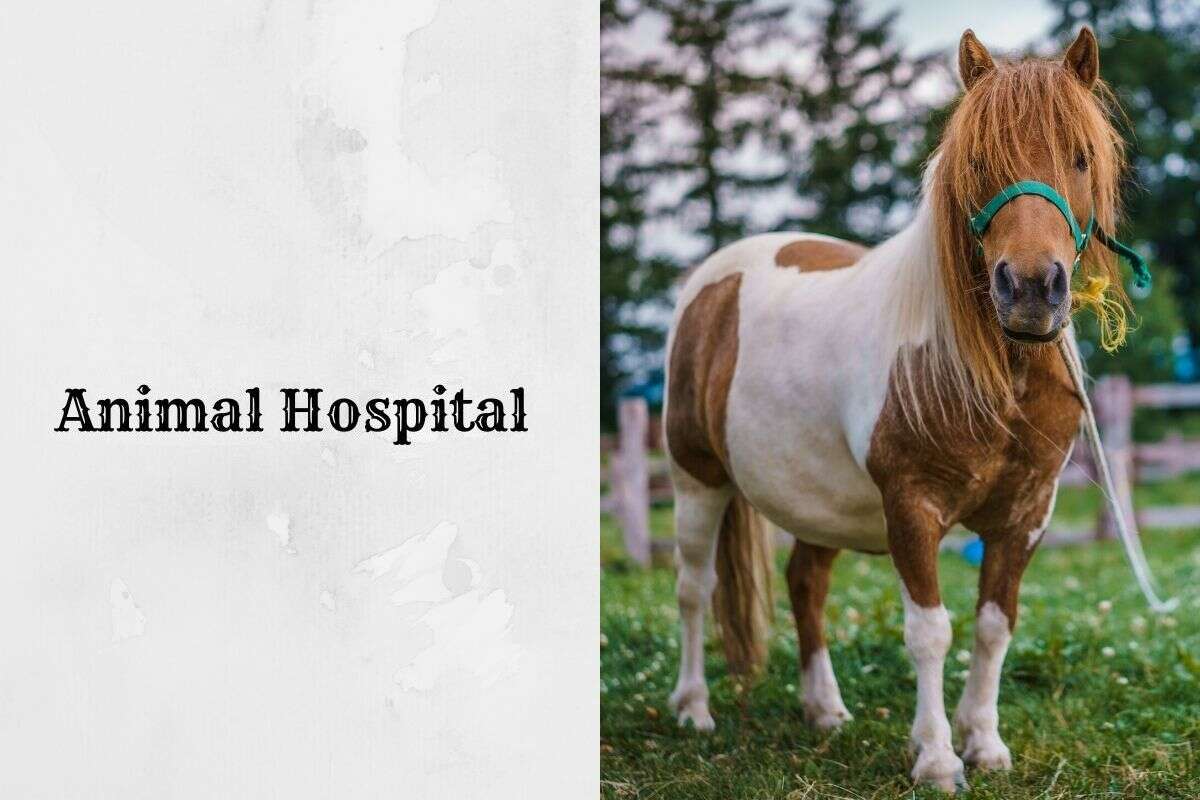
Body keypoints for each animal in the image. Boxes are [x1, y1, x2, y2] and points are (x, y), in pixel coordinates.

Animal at [662, 28, 1133, 792]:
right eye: (978, 160)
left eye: (1081, 156)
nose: (1033, 290)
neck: (991, 373)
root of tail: (710, 282)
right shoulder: (913, 506)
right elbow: (931, 631)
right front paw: (938, 758)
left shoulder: (1025, 514)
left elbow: (993, 624)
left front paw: (985, 744)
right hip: (695, 480)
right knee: (694, 588)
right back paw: (693, 709)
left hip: (817, 499)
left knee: (806, 584)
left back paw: (824, 710)